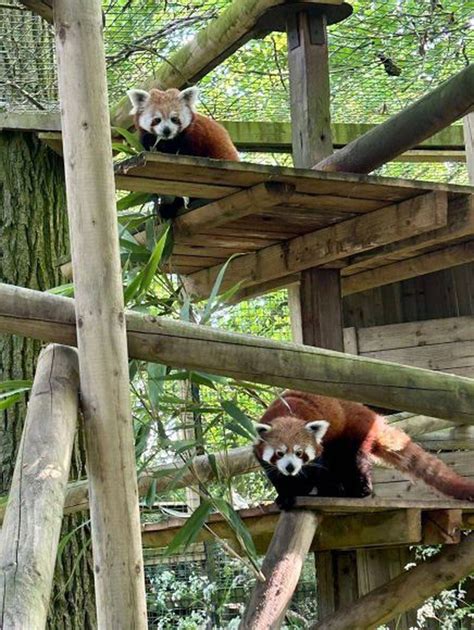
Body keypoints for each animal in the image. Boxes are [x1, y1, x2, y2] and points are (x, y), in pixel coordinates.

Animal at [254, 392, 474, 512]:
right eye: (280, 454)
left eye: (300, 453)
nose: (290, 467)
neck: (287, 412)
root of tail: (370, 414)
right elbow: (276, 476)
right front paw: (285, 495)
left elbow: (317, 470)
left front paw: (304, 490)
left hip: (352, 433)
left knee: (350, 462)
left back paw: (355, 491)